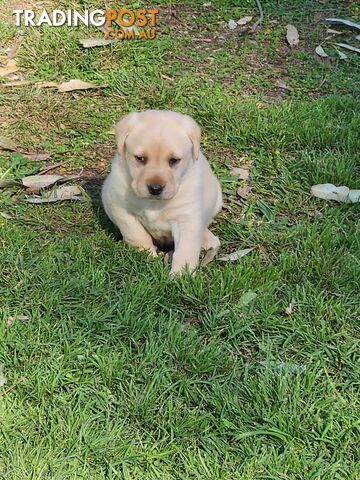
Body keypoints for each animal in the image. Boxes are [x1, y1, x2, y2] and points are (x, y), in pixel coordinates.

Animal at [101, 109, 222, 274]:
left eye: (174, 160)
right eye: (140, 158)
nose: (155, 188)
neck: (154, 203)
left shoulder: (186, 219)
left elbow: (186, 249)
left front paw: (181, 274)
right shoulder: (122, 209)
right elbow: (137, 235)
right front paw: (147, 257)